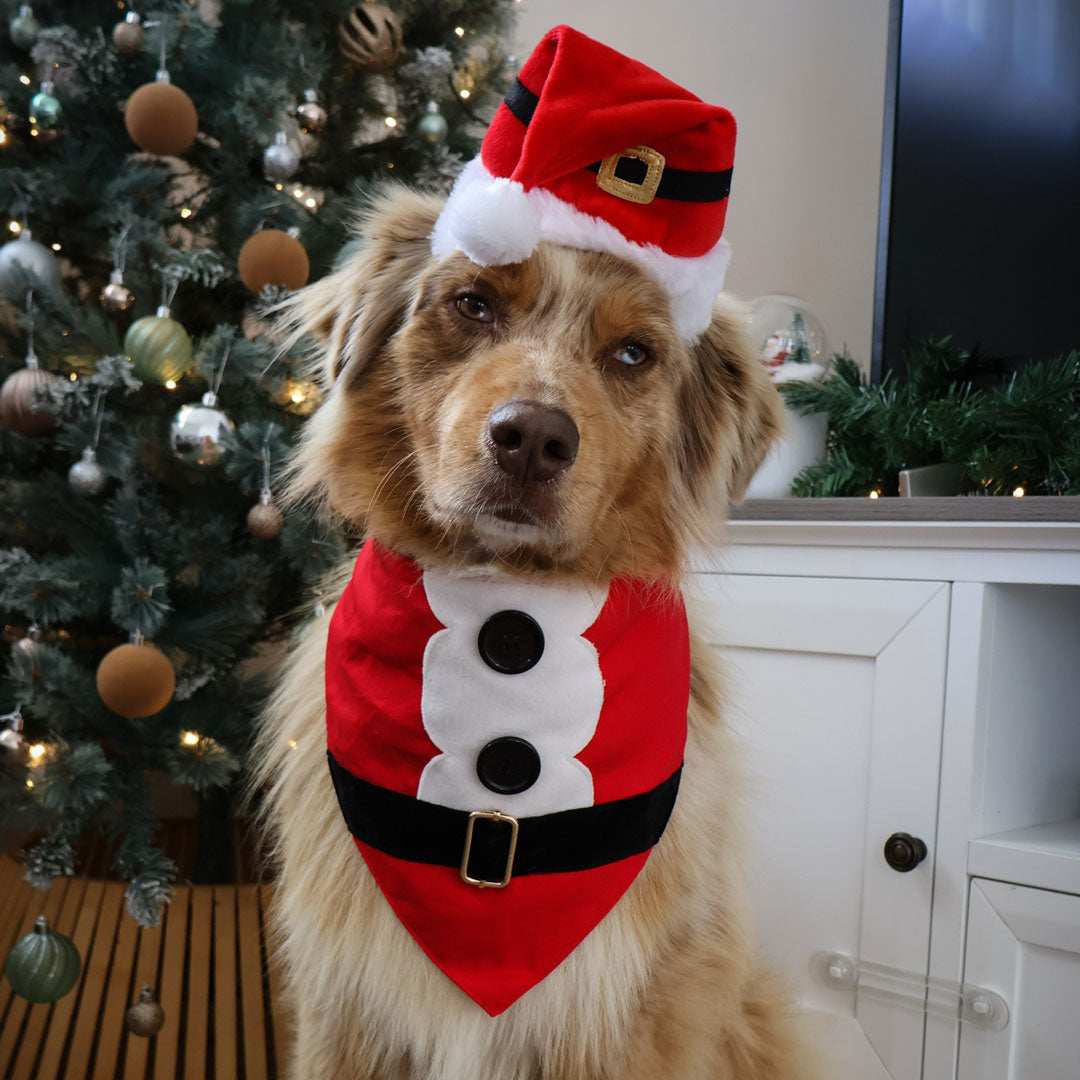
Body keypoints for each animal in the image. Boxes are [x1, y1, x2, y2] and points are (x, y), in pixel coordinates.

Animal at [250, 179, 816, 1080]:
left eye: (633, 354)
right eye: (473, 303)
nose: (532, 440)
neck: (511, 614)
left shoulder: (629, 1013)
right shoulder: (346, 1004)